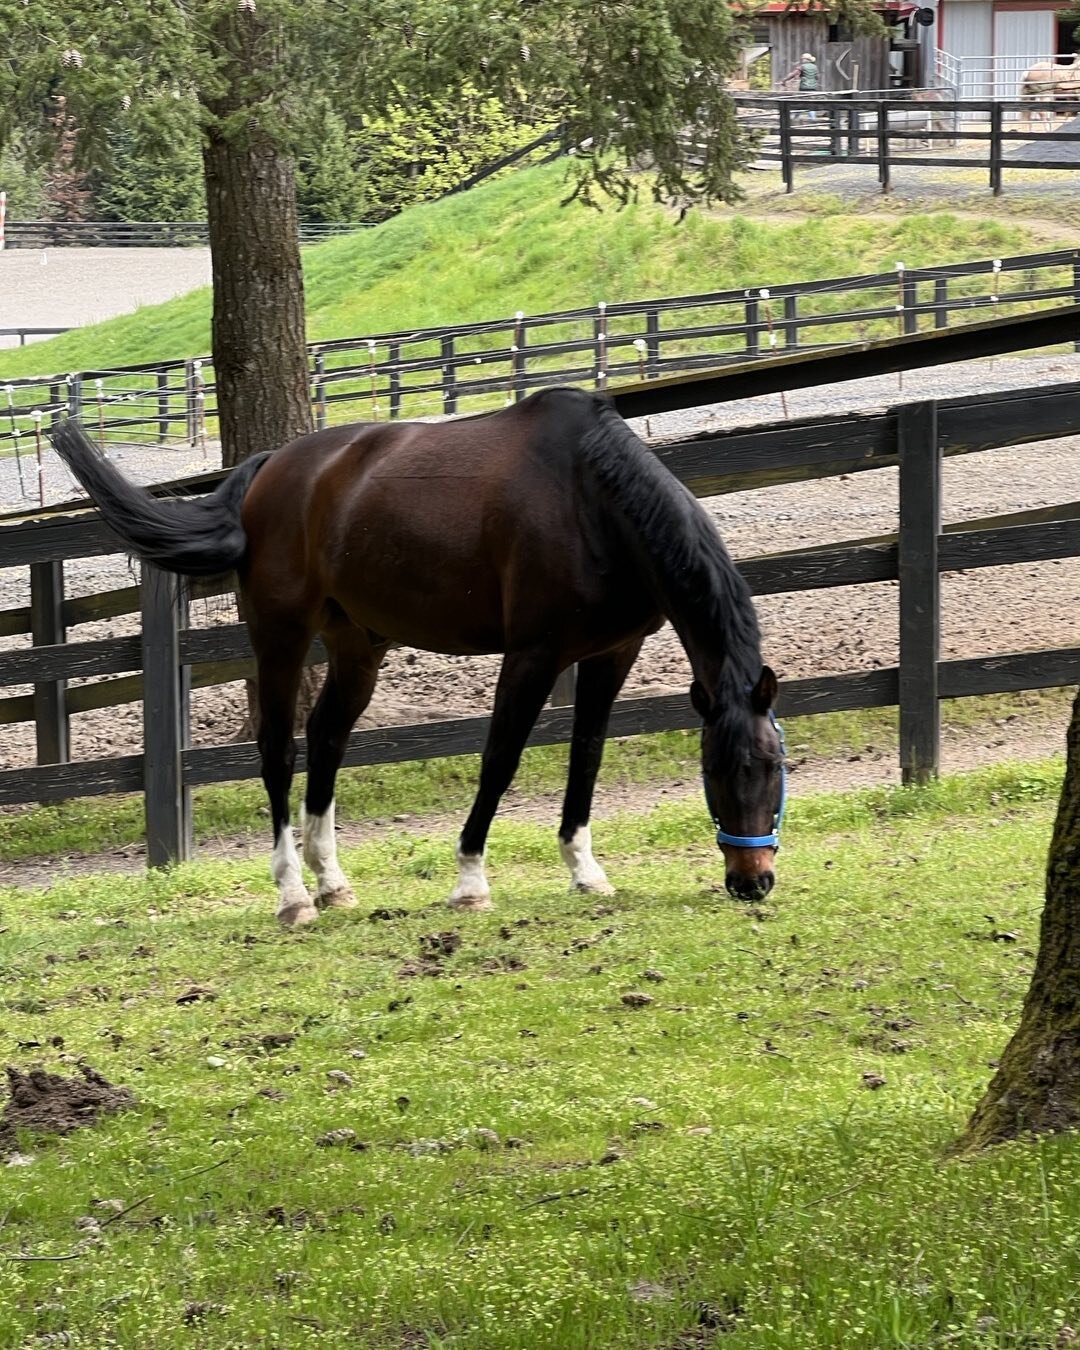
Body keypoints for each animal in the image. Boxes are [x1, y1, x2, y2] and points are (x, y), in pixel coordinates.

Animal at [50, 386, 783, 923]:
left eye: (774, 769)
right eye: (717, 771)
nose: (754, 881)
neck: (590, 502)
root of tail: (272, 468)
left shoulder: (613, 652)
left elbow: (588, 756)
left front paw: (585, 871)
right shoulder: (533, 654)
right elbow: (499, 760)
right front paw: (470, 883)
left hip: (356, 645)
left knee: (327, 738)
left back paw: (333, 883)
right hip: (281, 636)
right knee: (278, 750)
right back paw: (293, 896)